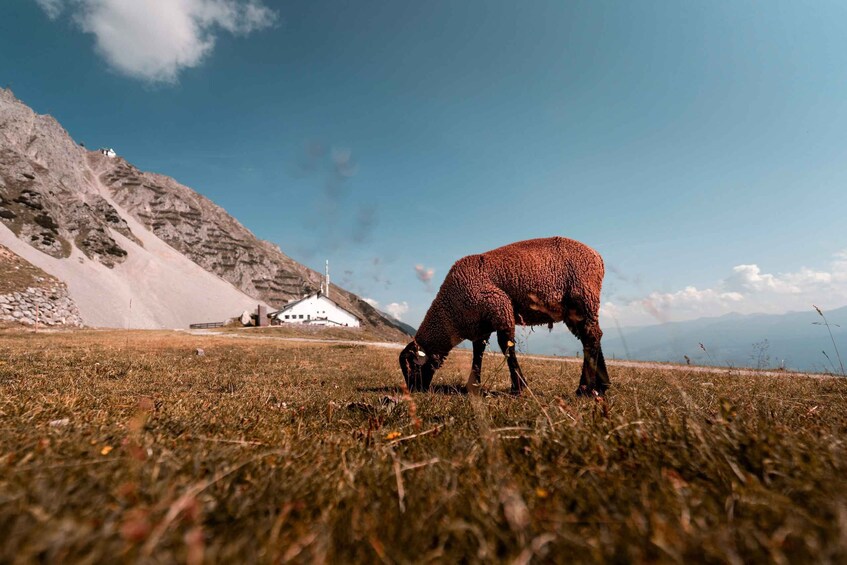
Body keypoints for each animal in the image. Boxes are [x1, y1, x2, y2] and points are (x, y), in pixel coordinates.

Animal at [400, 236, 612, 394]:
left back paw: (585, 388)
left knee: (591, 337)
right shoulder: (481, 324)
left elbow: (506, 346)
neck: (452, 312)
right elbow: (478, 352)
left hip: (583, 297)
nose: (414, 390)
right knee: (591, 337)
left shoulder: (500, 307)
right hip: (576, 309)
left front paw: (519, 387)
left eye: (412, 367)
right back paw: (601, 386)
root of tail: (598, 257)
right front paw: (473, 386)